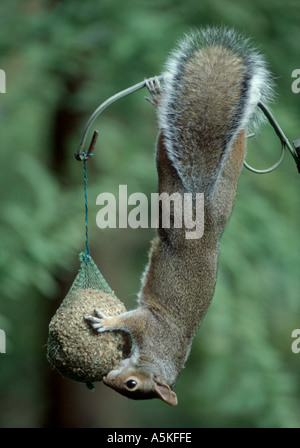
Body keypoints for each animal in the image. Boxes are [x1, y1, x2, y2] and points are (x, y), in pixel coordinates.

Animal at [84, 27, 272, 406]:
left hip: (187, 200)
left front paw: (106, 324)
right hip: (195, 196)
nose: (109, 377)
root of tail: (204, 212)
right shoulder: (151, 325)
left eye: (131, 387)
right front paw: (107, 322)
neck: (161, 356)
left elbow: (129, 321)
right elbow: (130, 319)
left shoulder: (148, 326)